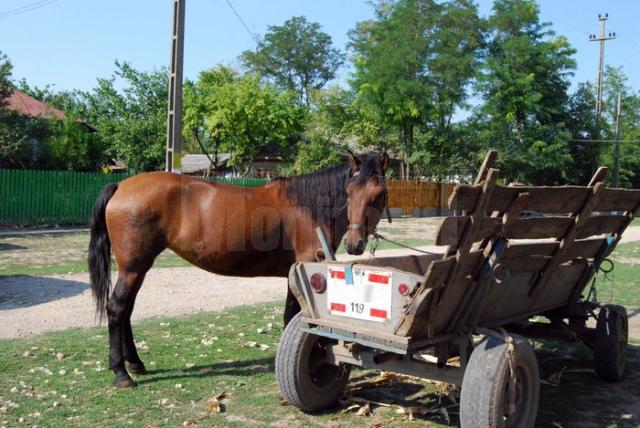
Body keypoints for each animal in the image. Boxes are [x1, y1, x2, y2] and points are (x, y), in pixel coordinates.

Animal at [87, 152, 388, 386]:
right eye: (349, 192)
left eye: (380, 193)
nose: (355, 244)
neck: (308, 206)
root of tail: (120, 186)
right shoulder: (302, 270)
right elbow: (293, 315)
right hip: (133, 267)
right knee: (117, 309)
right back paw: (121, 373)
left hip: (138, 268)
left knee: (126, 310)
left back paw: (135, 364)